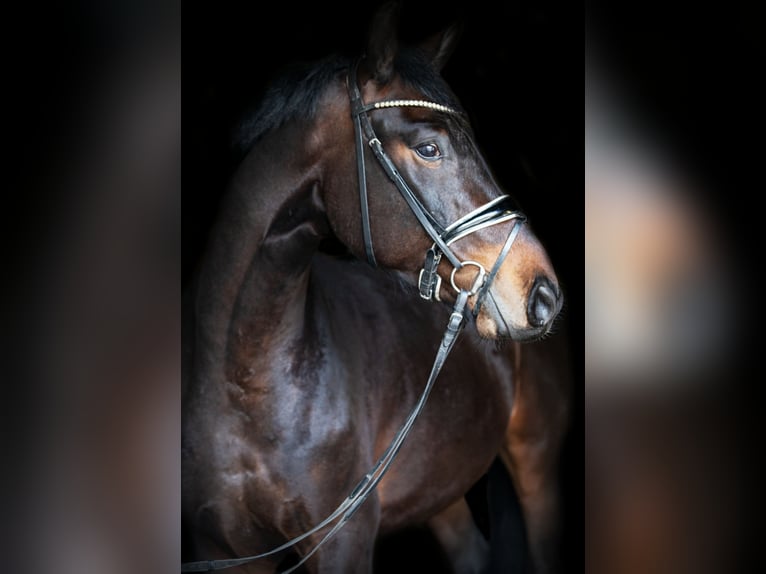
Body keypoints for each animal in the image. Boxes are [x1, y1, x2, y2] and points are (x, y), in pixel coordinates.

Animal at [183, 5, 572, 574]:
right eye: (429, 148)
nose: (543, 294)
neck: (245, 379)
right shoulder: (224, 551)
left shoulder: (344, 542)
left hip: (537, 462)